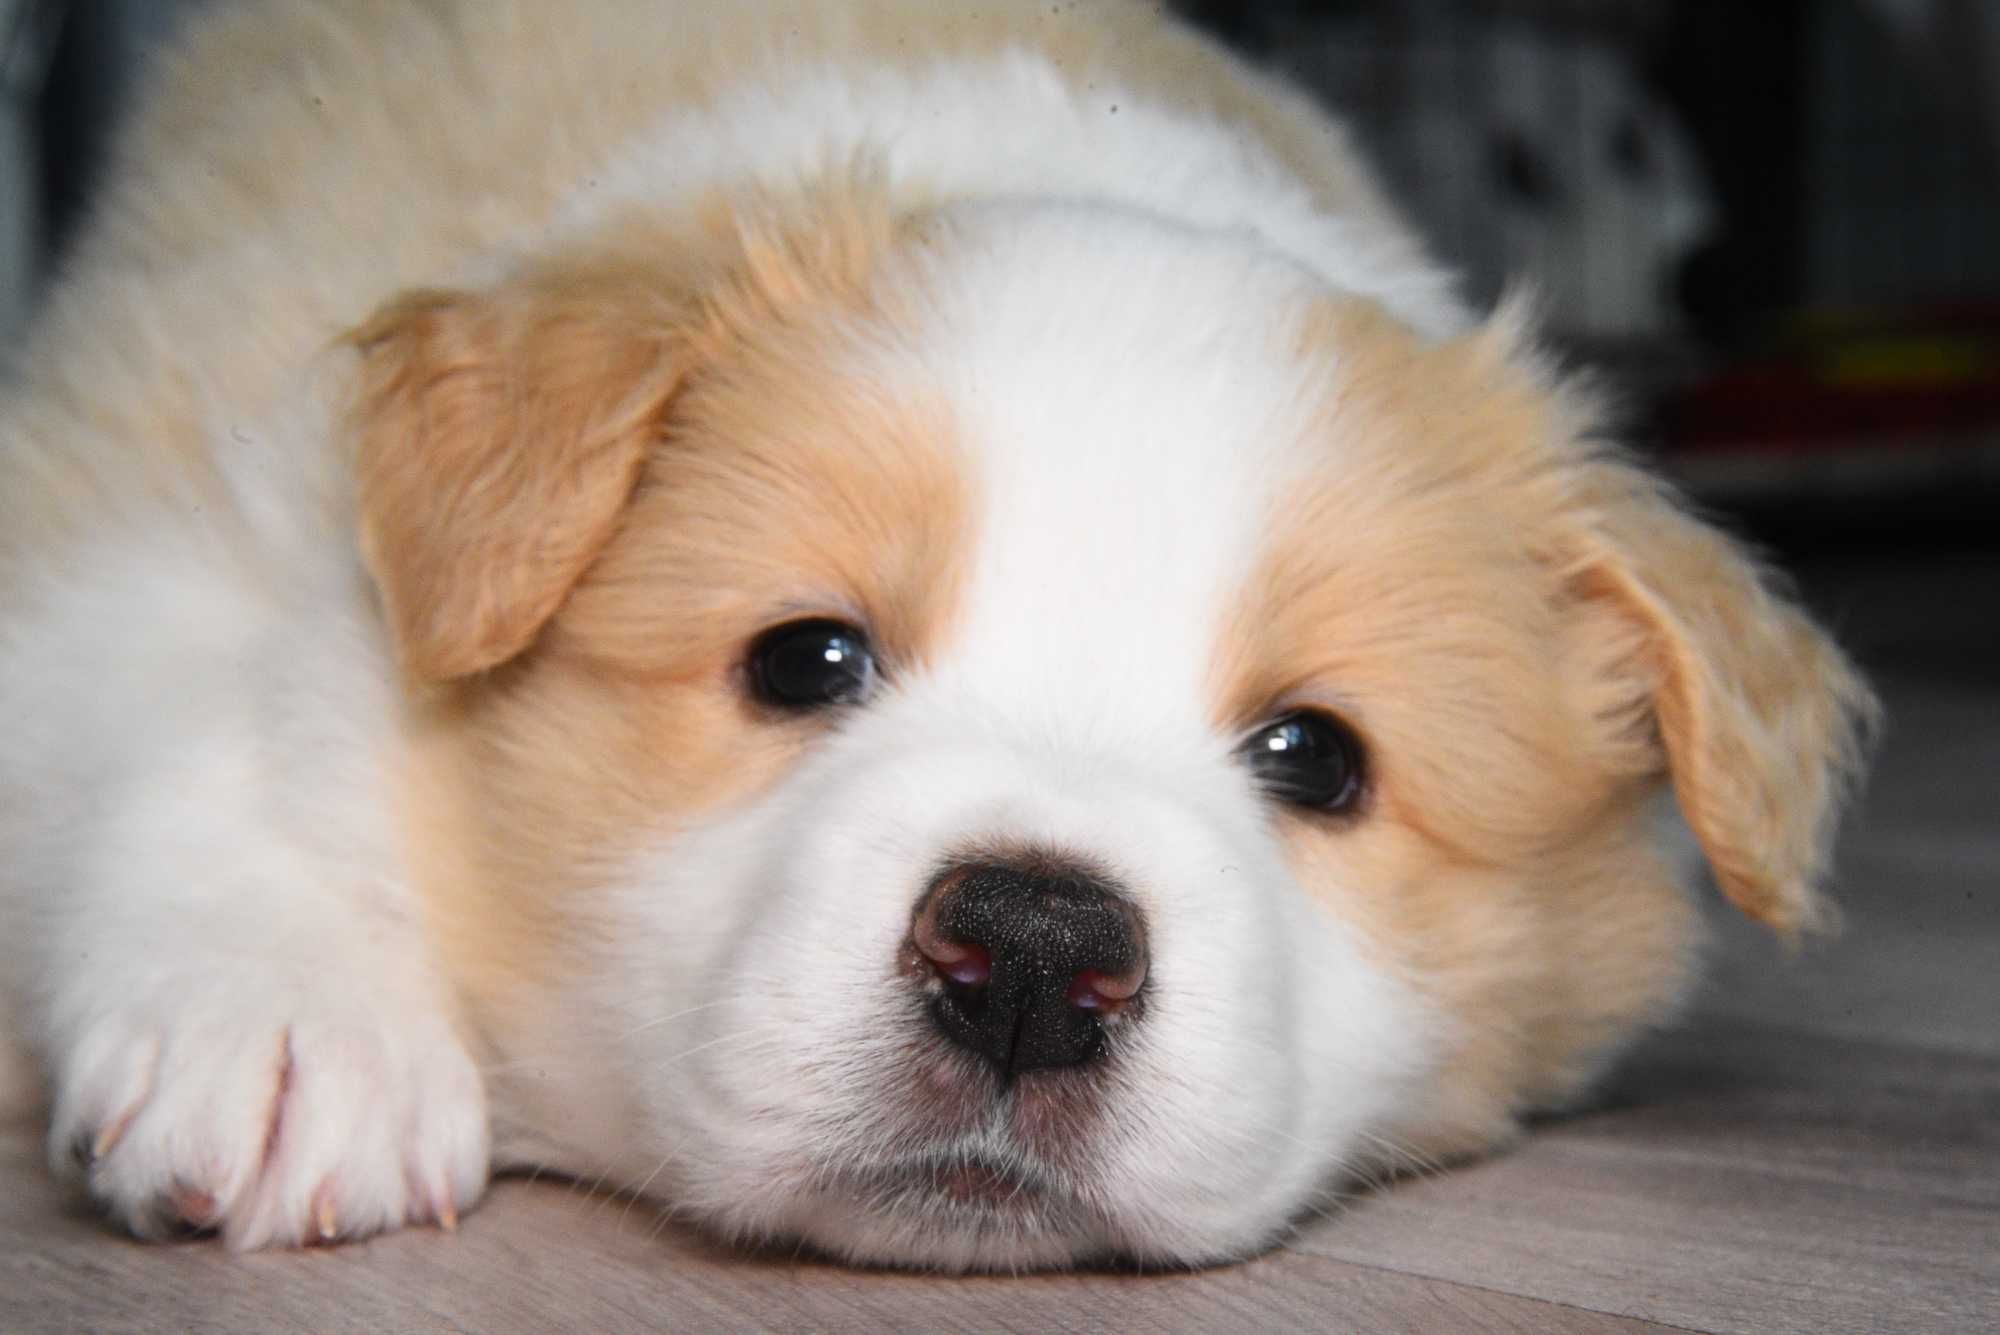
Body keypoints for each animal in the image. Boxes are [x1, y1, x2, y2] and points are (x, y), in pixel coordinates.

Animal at [3, 0, 1872, 1271]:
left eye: (1319, 759)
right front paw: (286, 1025)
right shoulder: (147, 492)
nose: (1035, 954)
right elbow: (200, 705)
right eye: (804, 659)